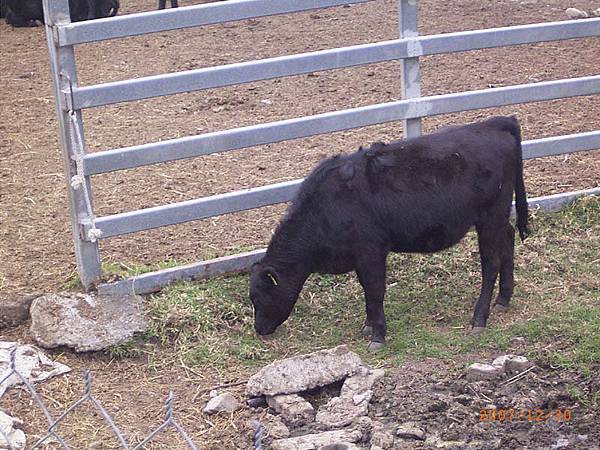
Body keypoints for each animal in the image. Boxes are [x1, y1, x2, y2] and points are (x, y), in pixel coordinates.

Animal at [248, 115, 528, 352]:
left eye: (260, 296)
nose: (259, 329)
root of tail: (494, 123)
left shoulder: (370, 251)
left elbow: (374, 290)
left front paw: (377, 335)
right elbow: (367, 290)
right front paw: (369, 325)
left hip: (491, 216)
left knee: (490, 262)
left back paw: (479, 318)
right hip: (498, 216)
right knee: (508, 239)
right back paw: (503, 299)